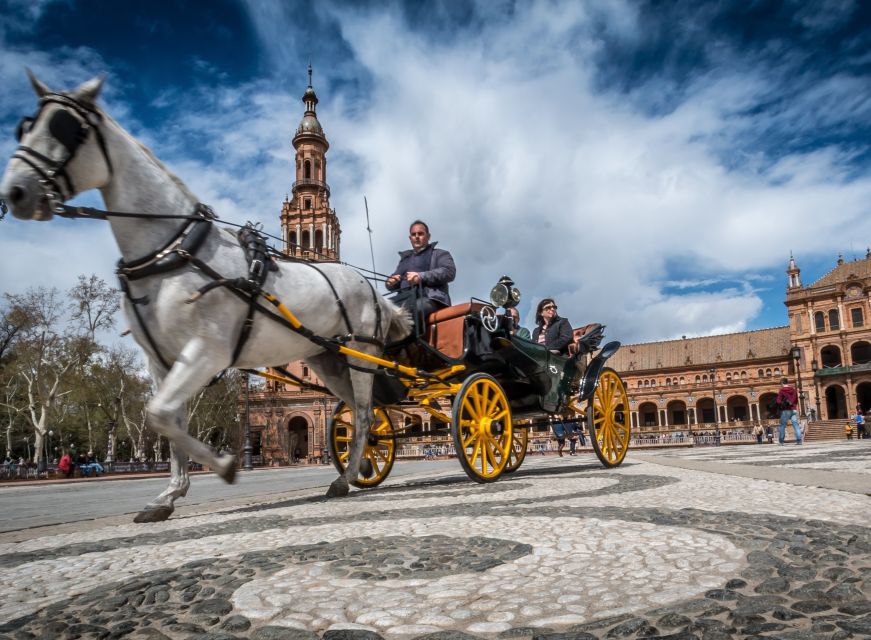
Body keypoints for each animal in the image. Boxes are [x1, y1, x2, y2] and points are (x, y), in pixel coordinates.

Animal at [1, 72, 410, 520]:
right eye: (25, 126)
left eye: (64, 127)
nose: (16, 191)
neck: (173, 250)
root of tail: (369, 289)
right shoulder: (164, 362)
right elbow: (167, 419)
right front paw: (171, 493)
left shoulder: (206, 350)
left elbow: (162, 415)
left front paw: (224, 465)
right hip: (329, 360)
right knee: (360, 413)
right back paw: (356, 470)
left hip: (360, 355)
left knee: (365, 413)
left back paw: (346, 477)